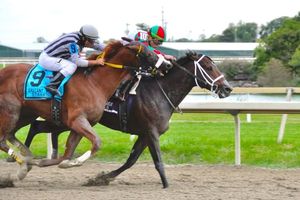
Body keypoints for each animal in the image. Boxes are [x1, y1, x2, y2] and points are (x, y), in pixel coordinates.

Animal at [0, 40, 169, 184]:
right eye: (148, 53)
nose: (167, 64)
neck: (95, 83)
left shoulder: (82, 124)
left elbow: (68, 153)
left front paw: (58, 162)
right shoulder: (77, 120)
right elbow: (96, 143)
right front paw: (74, 163)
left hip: (26, 114)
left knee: (12, 134)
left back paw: (27, 158)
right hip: (11, 111)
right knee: (3, 139)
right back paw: (22, 166)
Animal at [24, 51, 233, 188]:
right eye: (209, 67)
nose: (227, 88)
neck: (159, 92)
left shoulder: (144, 134)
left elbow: (131, 160)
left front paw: (102, 178)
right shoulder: (151, 131)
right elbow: (158, 161)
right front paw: (166, 185)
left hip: (67, 122)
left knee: (39, 127)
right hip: (68, 120)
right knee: (36, 126)